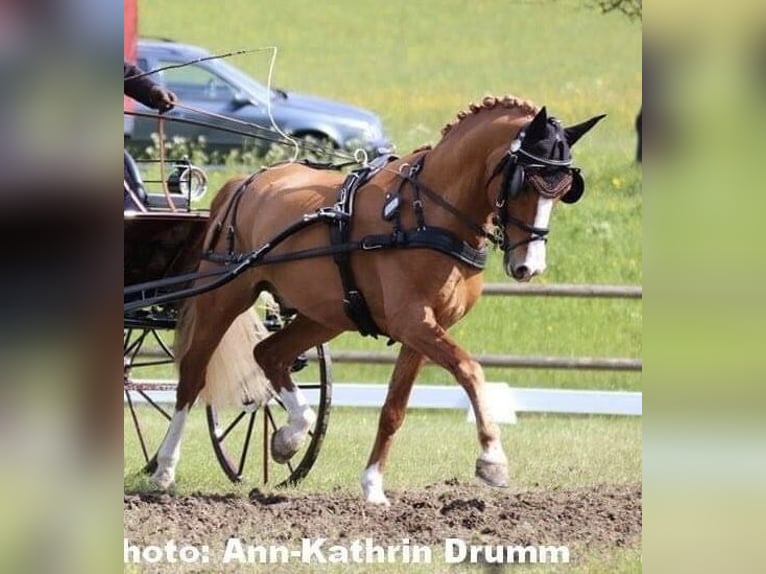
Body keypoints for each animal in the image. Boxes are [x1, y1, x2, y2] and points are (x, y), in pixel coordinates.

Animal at [150, 94, 608, 504]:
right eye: (524, 183)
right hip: (222, 295)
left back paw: (290, 436)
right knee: (192, 377)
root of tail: (243, 183)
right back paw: (164, 469)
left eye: (564, 189)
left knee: (269, 354)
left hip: (325, 314)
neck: (428, 212)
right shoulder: (413, 321)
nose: (528, 267)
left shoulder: (424, 329)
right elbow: (469, 369)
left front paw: (372, 485)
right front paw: (493, 460)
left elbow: (394, 409)